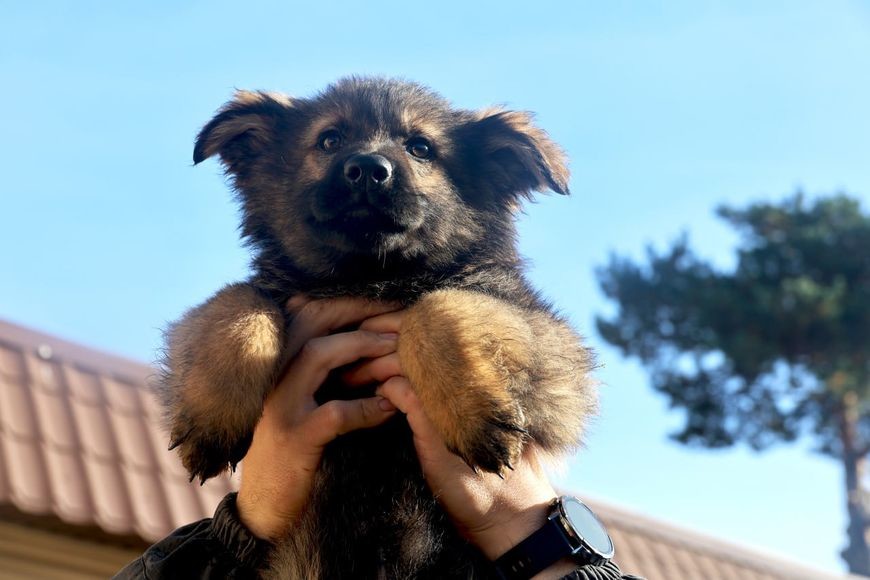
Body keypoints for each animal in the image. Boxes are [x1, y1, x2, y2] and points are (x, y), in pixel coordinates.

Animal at [160, 78, 600, 580]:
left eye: (421, 147)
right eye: (329, 140)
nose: (368, 170)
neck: (371, 277)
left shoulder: (556, 358)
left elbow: (438, 304)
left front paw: (475, 411)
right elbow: (238, 301)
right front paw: (210, 418)